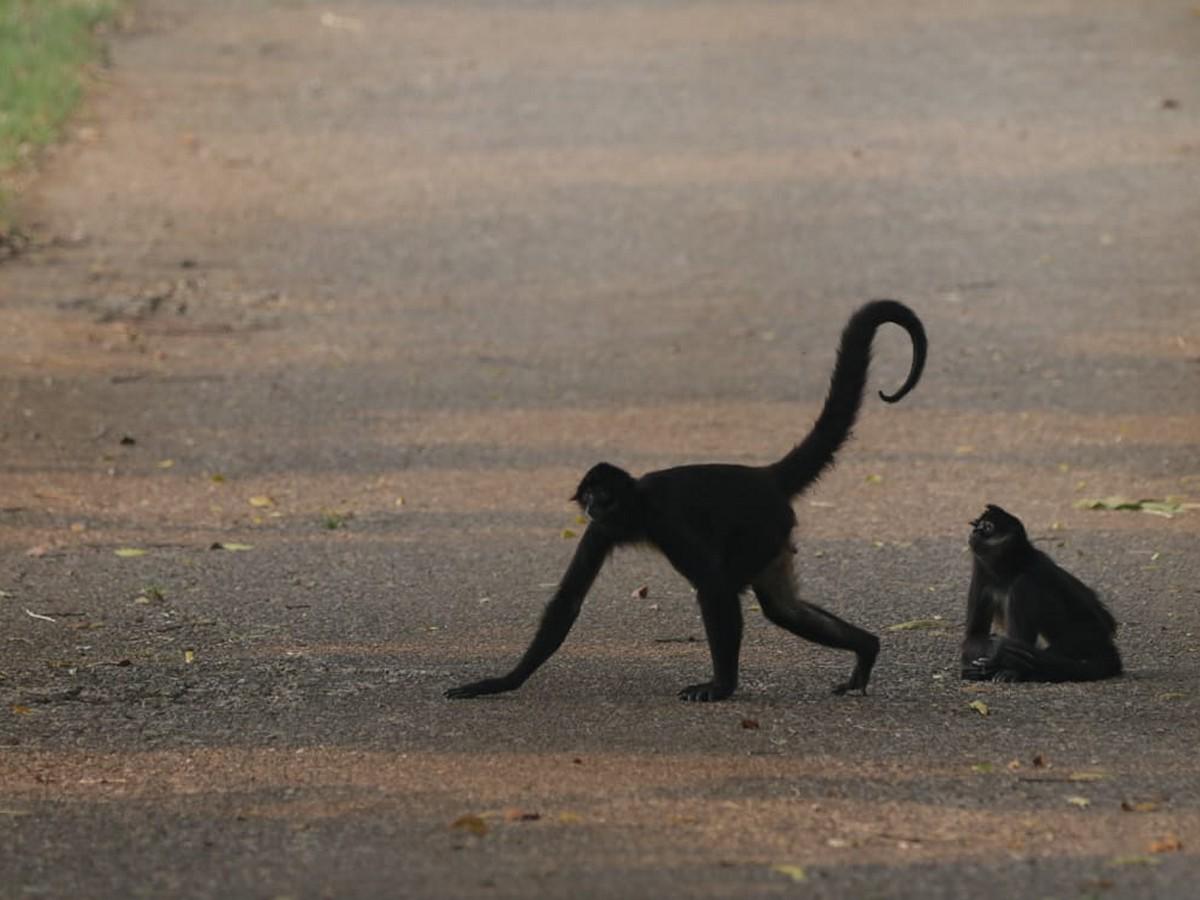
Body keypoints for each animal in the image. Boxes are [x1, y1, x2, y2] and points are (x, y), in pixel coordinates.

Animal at [448, 301, 926, 705]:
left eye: (604, 495)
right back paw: (867, 649)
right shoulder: (600, 531)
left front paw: (722, 687)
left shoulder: (665, 520)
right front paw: (501, 682)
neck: (637, 508)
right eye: (588, 496)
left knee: (737, 590)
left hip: (762, 528)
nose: (593, 506)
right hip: (773, 537)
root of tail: (764, 475)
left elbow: (713, 585)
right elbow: (567, 601)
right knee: (784, 608)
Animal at [960, 508, 1118, 681]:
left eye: (987, 527)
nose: (976, 531)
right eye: (976, 525)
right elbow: (974, 636)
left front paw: (1003, 654)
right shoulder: (981, 568)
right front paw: (998, 652)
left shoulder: (1036, 569)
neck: (1009, 570)